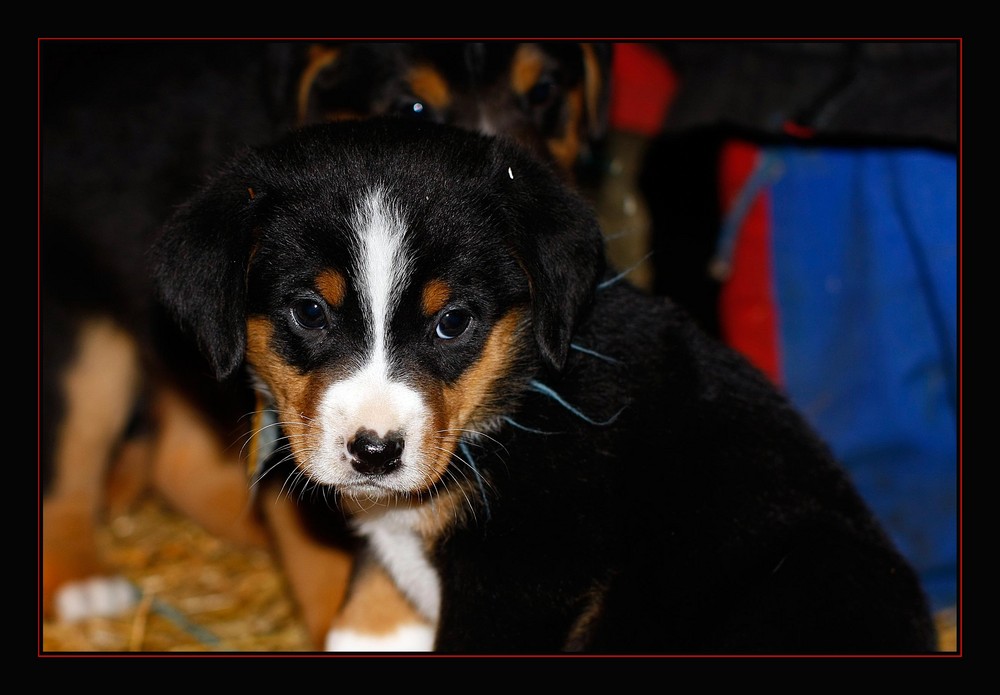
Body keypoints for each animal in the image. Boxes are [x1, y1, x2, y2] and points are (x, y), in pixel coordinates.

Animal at [39, 38, 608, 648]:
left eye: (544, 91)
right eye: (411, 106)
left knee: (178, 460)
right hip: (82, 338)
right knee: (74, 449)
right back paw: (80, 582)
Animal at [150, 117, 936, 656]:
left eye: (454, 322)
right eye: (309, 312)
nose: (375, 451)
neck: (516, 395)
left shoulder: (522, 577)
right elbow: (359, 623)